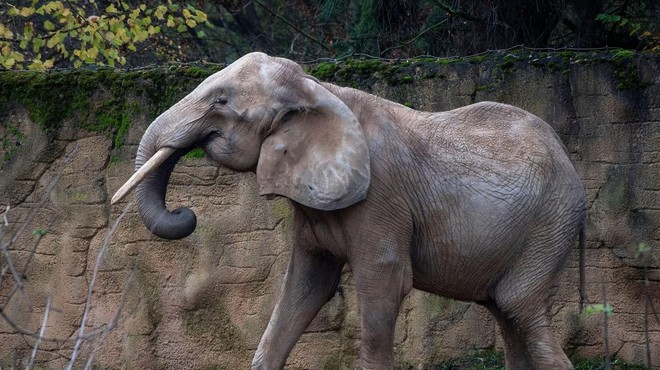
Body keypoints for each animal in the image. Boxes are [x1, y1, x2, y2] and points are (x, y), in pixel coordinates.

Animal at [113, 51, 588, 368]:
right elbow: (306, 286)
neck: (317, 88)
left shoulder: (381, 198)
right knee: (507, 316)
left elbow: (383, 284)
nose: (187, 213)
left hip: (550, 226)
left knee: (519, 308)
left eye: (222, 102)